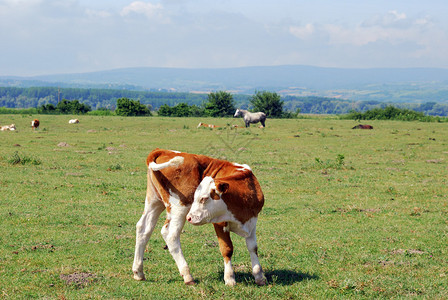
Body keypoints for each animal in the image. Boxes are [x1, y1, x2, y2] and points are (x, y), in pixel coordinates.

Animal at [133, 149, 266, 286]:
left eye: (204, 198)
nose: (190, 217)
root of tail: (164, 151)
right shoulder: (219, 223)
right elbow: (227, 248)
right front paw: (229, 278)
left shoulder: (252, 221)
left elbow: (253, 247)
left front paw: (259, 275)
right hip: (179, 207)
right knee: (170, 234)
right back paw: (187, 276)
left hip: (154, 201)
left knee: (143, 229)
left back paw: (138, 272)